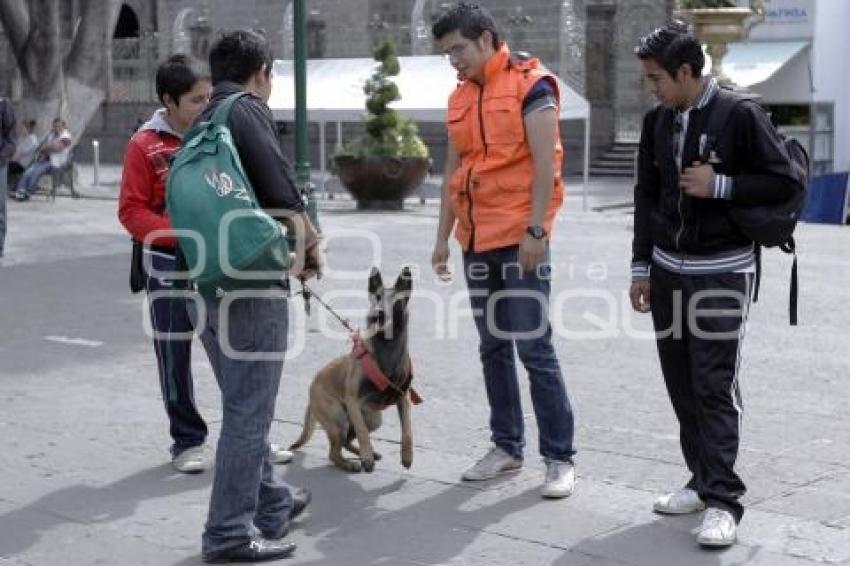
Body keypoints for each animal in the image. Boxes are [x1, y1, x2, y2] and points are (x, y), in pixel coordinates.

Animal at [288, 268, 414, 472]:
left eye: (395, 300)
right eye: (377, 297)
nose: (376, 315)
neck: (386, 349)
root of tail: (312, 390)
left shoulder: (404, 398)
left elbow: (408, 430)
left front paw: (407, 456)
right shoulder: (353, 401)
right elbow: (362, 433)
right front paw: (367, 458)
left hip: (373, 419)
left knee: (347, 441)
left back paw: (366, 454)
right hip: (340, 420)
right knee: (334, 452)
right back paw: (352, 462)